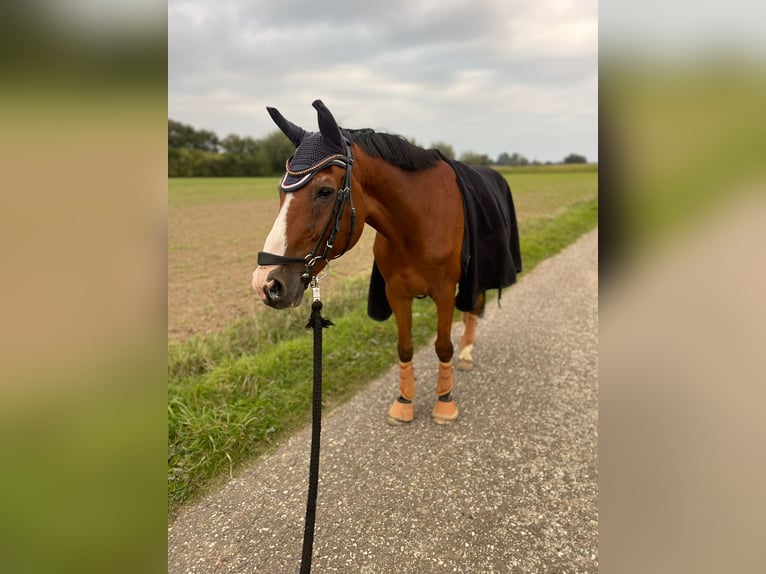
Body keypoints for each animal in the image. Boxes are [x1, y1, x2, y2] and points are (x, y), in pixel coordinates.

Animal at [252, 99, 520, 426]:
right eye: (281, 191)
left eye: (325, 191)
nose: (266, 283)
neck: (418, 222)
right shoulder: (396, 293)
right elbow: (404, 348)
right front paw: (404, 402)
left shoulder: (445, 292)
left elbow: (443, 346)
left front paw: (444, 402)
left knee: (473, 305)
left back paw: (467, 352)